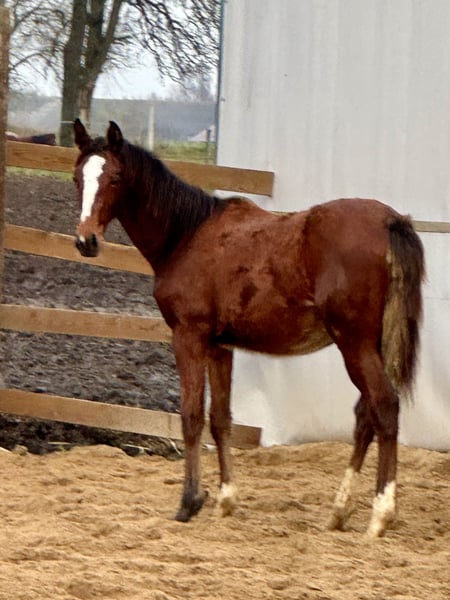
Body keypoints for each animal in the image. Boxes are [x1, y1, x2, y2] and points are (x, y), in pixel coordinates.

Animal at [72, 119, 425, 537]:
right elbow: (220, 418)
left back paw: (380, 515)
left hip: (354, 344)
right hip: (374, 345)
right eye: (77, 177)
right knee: (365, 416)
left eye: (114, 178)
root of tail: (390, 221)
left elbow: (191, 416)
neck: (188, 235)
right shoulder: (221, 346)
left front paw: (190, 501)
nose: (86, 240)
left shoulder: (189, 337)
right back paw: (339, 510)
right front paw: (225, 500)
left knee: (384, 407)